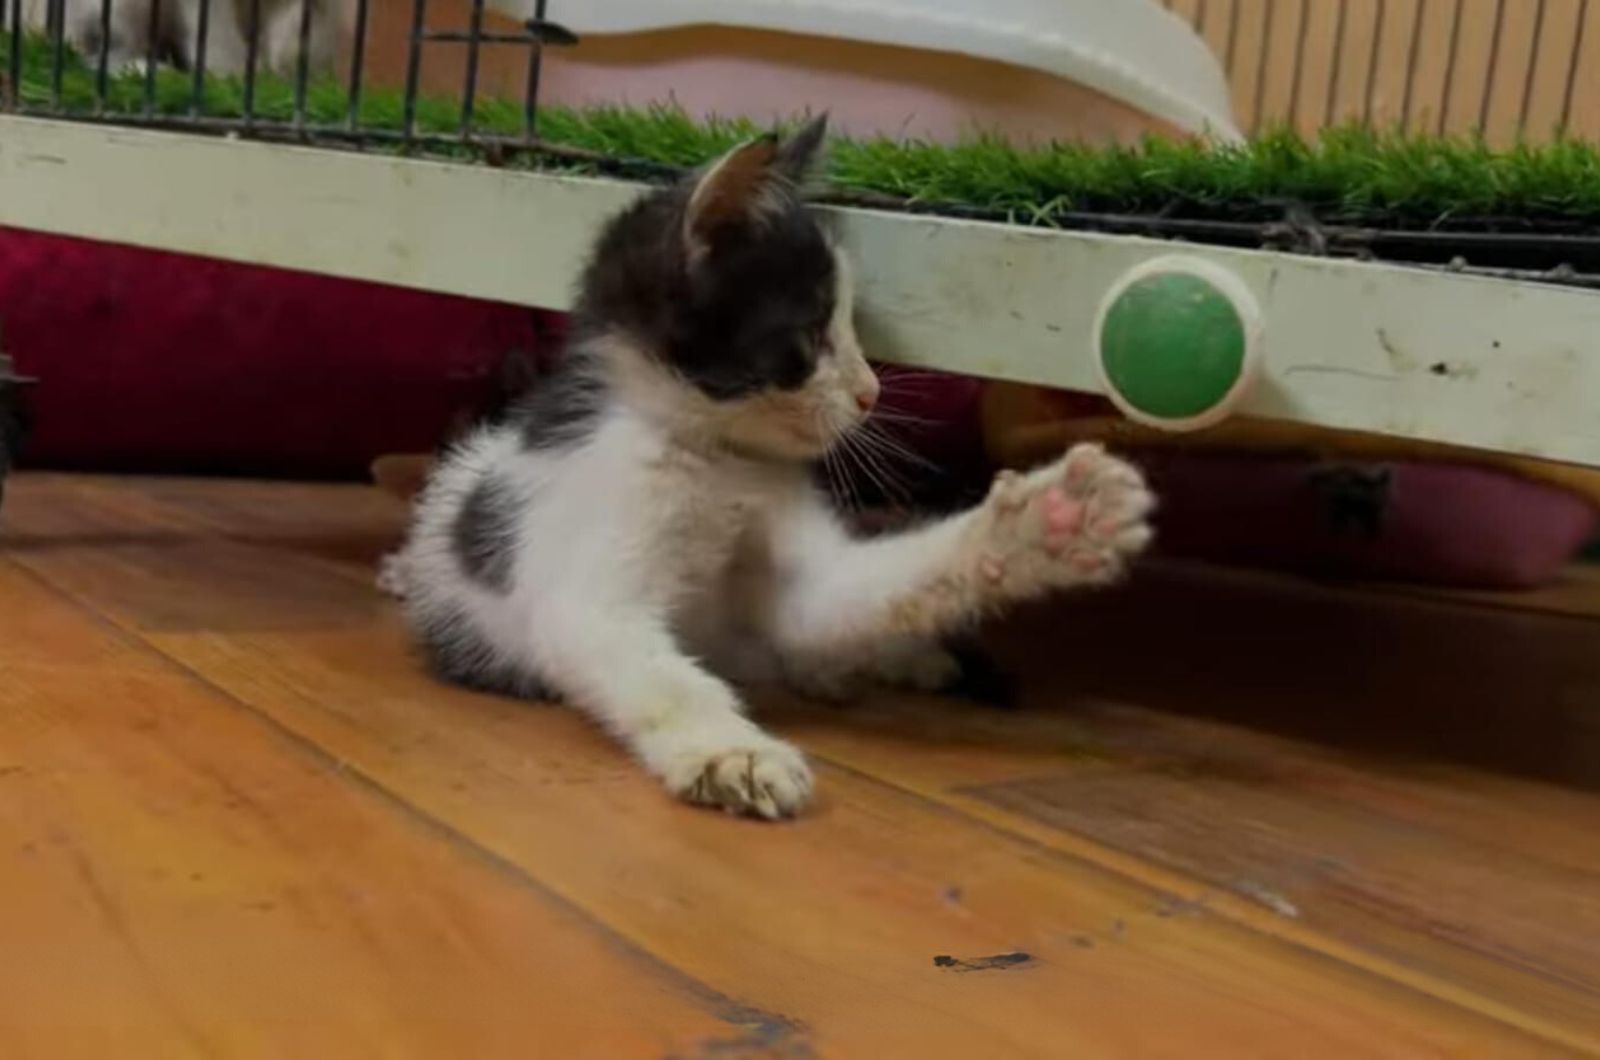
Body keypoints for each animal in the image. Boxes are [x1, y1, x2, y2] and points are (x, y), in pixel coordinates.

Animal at [393, 116, 1158, 816]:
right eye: (813, 334)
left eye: (853, 327)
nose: (870, 393)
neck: (717, 461)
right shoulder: (585, 567)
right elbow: (660, 674)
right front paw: (731, 751)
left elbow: (848, 587)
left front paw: (1047, 524)